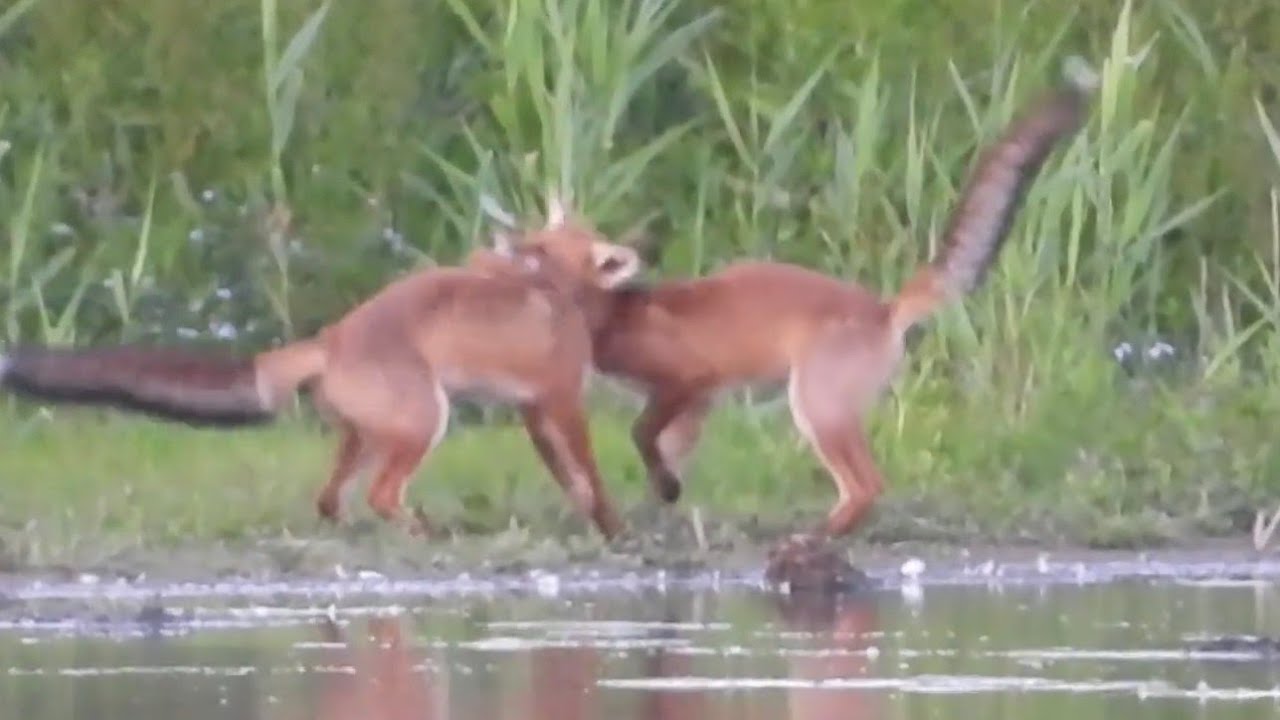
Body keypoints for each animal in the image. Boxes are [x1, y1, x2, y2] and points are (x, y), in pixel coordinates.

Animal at [0, 208, 644, 540]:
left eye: (550, 236)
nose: (505, 238)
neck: (554, 291)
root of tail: (332, 338)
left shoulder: (533, 410)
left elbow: (570, 480)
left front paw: (592, 520)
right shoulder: (562, 400)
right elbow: (591, 474)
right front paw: (614, 526)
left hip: (362, 436)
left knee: (329, 500)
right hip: (423, 424)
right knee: (382, 495)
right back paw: (426, 530)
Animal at [471, 57, 1100, 539]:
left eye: (540, 253)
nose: (502, 241)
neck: (620, 316)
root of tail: (883, 309)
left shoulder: (688, 379)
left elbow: (642, 435)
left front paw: (660, 489)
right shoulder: (697, 403)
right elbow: (666, 452)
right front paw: (664, 496)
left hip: (815, 408)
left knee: (868, 487)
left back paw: (813, 541)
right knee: (863, 488)